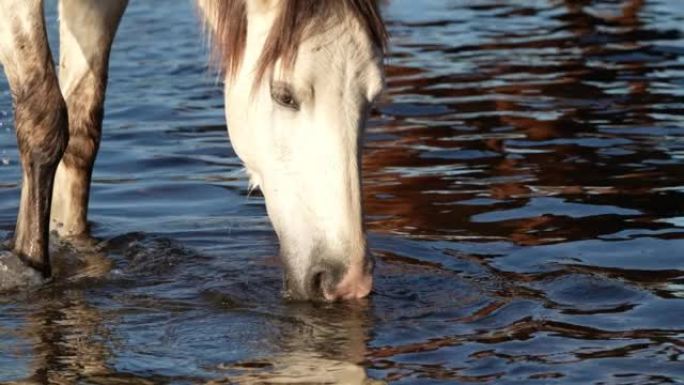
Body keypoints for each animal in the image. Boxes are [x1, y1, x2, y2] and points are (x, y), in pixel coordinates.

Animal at [0, 0, 384, 300]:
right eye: (284, 96)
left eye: (372, 98)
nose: (348, 282)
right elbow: (44, 118)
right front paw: (30, 266)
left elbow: (82, 129)